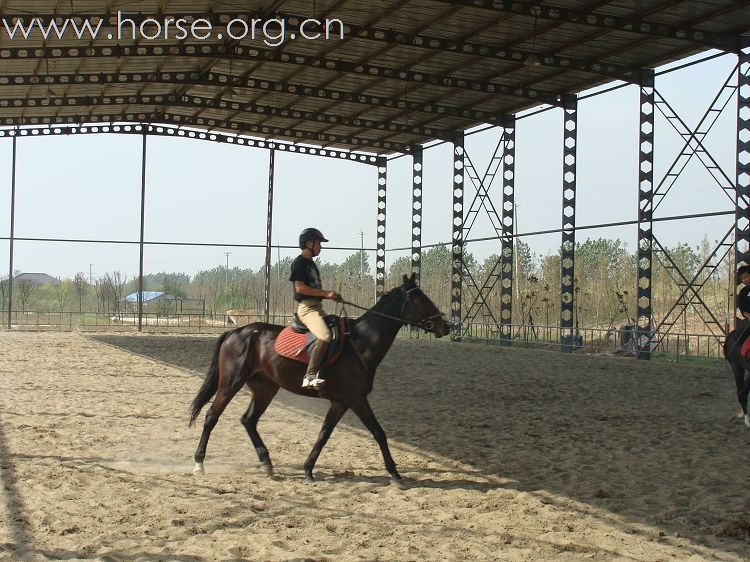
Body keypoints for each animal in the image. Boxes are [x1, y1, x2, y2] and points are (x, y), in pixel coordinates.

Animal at [191, 272, 450, 482]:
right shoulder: (356, 399)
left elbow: (324, 435)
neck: (359, 345)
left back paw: (267, 463)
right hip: (230, 384)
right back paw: (199, 463)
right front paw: (395, 474)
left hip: (265, 388)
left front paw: (308, 470)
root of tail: (236, 332)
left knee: (248, 420)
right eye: (421, 299)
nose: (446, 326)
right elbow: (378, 433)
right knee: (212, 416)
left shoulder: (340, 402)